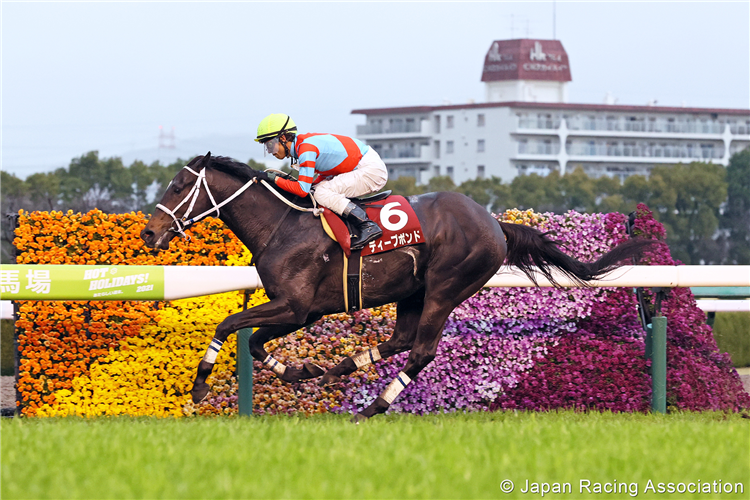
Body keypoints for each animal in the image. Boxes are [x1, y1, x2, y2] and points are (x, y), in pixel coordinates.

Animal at [141, 153, 652, 422]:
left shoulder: (295, 306)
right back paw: (338, 371)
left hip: (446, 288)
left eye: (179, 186)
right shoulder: (303, 310)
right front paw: (304, 371)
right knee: (400, 340)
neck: (282, 225)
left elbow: (230, 326)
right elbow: (255, 344)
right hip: (413, 292)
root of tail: (495, 223)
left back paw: (371, 407)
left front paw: (200, 386)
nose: (148, 233)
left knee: (420, 351)